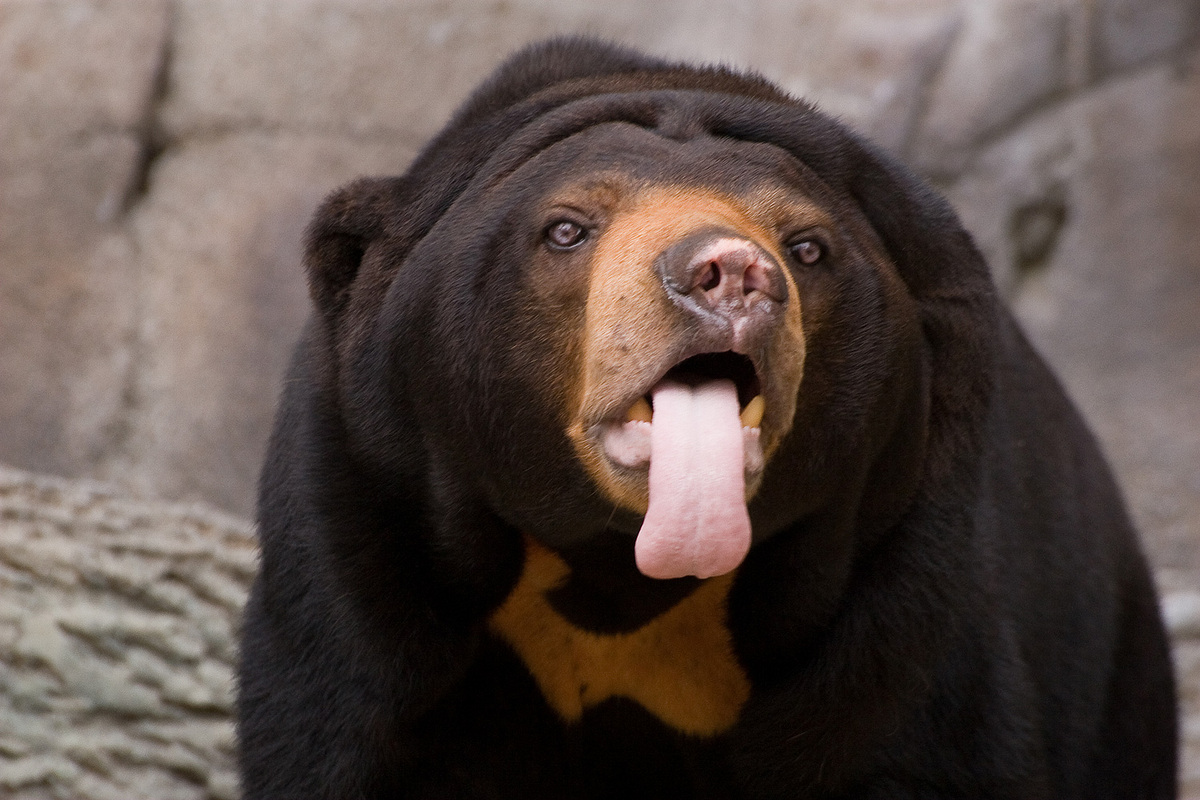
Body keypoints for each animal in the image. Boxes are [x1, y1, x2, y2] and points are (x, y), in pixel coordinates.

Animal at [236, 37, 1178, 799]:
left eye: (807, 247)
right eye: (567, 229)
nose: (728, 273)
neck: (620, 571)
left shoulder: (910, 558)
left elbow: (913, 738)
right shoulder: (362, 524)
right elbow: (356, 733)